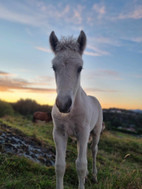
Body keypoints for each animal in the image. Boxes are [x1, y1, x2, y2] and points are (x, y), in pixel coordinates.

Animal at [49, 31, 102, 189]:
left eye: (80, 68)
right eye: (54, 67)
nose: (63, 104)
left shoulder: (83, 133)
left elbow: (81, 165)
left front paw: (84, 179)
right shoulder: (59, 133)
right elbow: (60, 166)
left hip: (95, 132)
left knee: (94, 150)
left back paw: (94, 176)